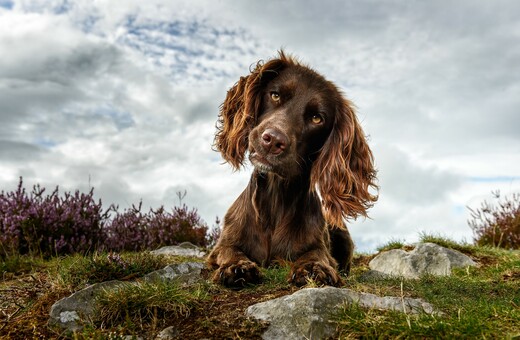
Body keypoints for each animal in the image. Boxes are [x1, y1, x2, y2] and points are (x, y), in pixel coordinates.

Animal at [207, 51, 378, 286]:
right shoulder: (222, 245)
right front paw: (237, 266)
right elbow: (229, 251)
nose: (272, 140)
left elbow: (316, 254)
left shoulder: (319, 246)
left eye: (317, 118)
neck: (276, 196)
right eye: (275, 95)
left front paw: (314, 268)